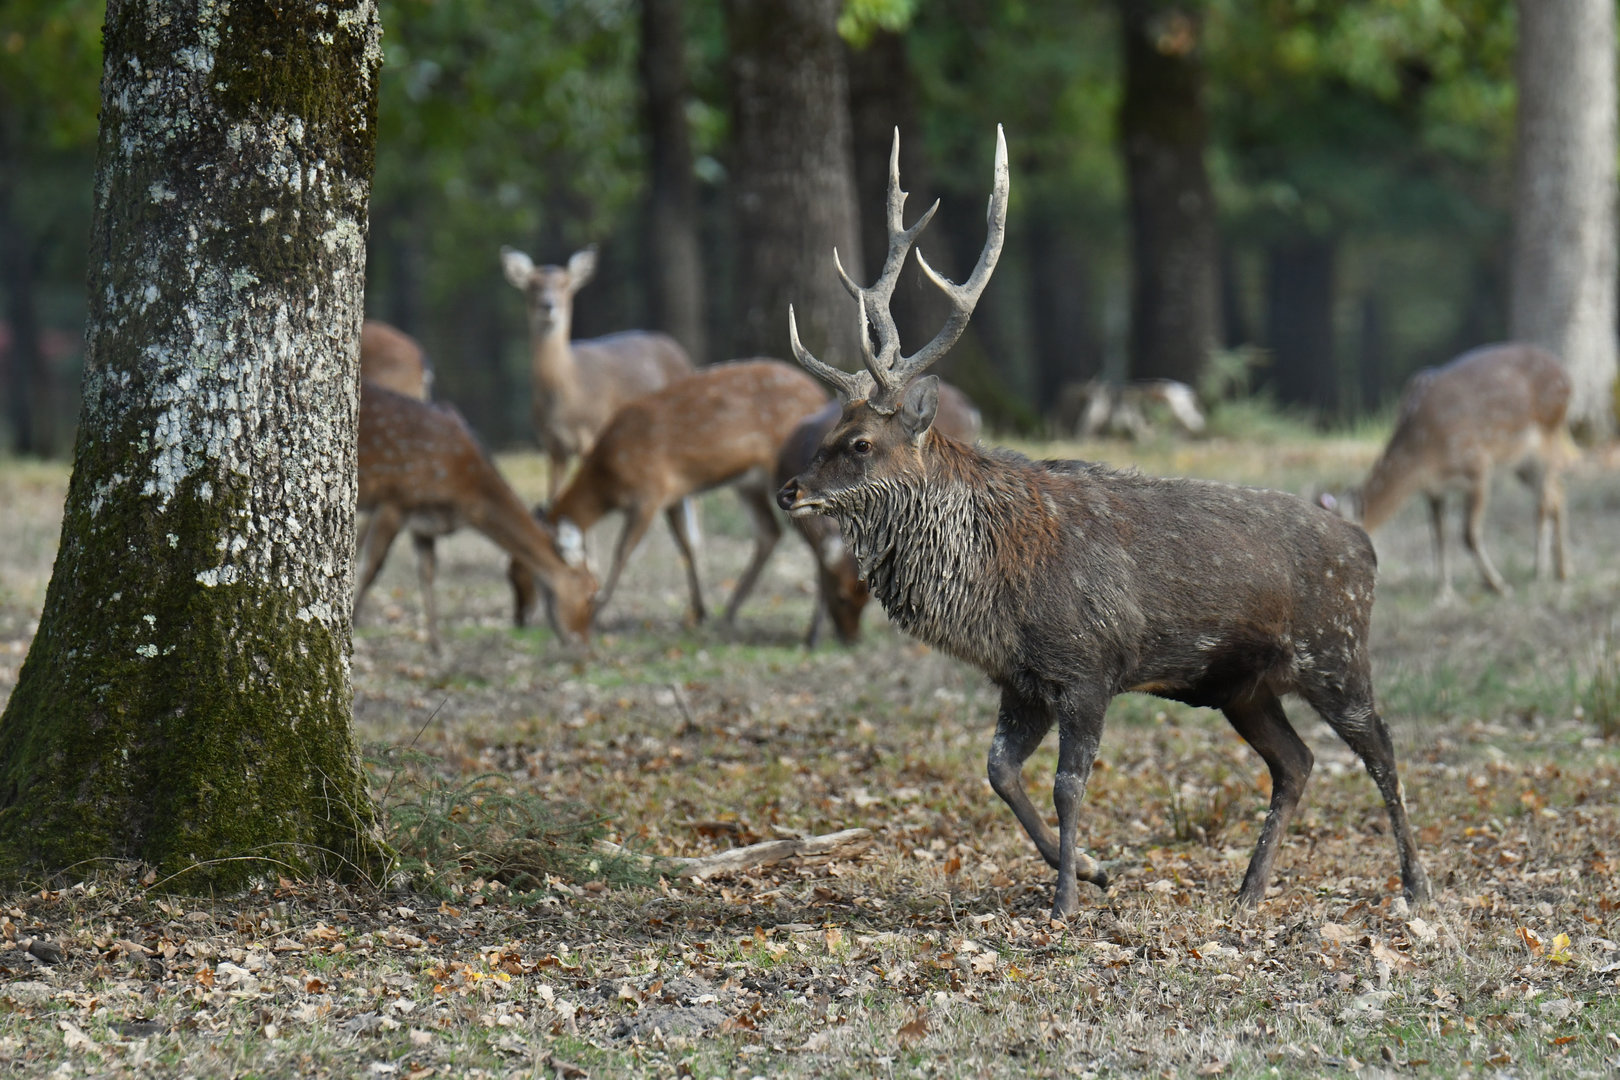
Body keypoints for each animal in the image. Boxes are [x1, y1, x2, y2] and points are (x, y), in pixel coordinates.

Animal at [356, 383, 597, 652]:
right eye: (590, 595)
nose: (586, 645)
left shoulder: (425, 521)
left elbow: (427, 573)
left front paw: (437, 647)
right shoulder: (395, 499)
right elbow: (370, 568)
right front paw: (352, 624)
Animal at [500, 245, 695, 499]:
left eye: (565, 284)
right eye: (532, 285)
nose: (548, 305)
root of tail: (680, 352)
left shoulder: (594, 431)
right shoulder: (552, 446)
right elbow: (553, 498)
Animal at [510, 359, 827, 632]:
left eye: (523, 570)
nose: (519, 618)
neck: (609, 479)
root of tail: (819, 394)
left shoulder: (650, 492)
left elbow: (623, 551)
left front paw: (597, 611)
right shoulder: (673, 494)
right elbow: (686, 545)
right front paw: (699, 611)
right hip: (748, 482)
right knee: (768, 532)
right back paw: (730, 611)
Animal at [1321, 343, 1571, 599]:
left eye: (1343, 551)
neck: (1423, 452)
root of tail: (1565, 372)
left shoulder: (1478, 466)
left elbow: (1468, 535)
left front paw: (1498, 585)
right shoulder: (1433, 488)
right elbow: (1438, 534)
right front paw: (1443, 589)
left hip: (1549, 437)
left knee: (1543, 502)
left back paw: (1539, 571)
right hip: (1521, 462)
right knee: (1558, 493)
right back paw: (1562, 571)